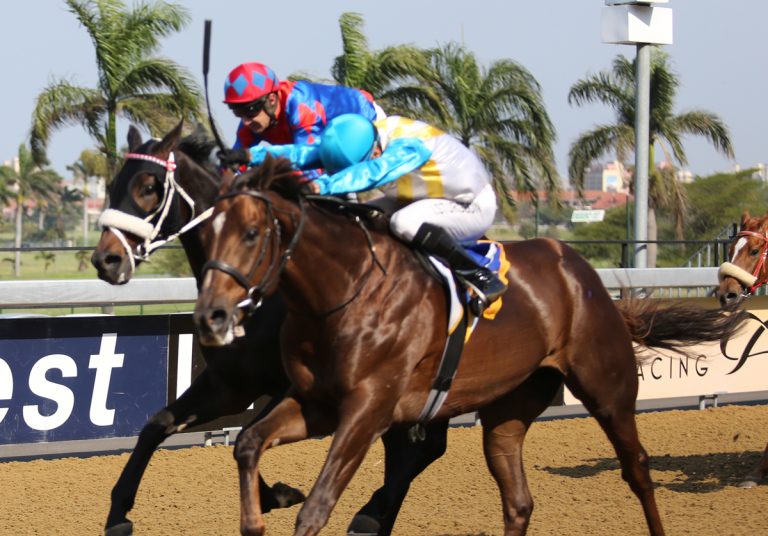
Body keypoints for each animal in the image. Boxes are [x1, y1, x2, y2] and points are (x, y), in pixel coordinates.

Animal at [90, 121, 450, 536]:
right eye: (114, 183)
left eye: (148, 186)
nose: (105, 259)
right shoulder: (229, 384)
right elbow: (159, 424)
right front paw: (118, 513)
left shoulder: (295, 385)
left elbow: (247, 433)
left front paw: (276, 495)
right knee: (415, 449)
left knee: (419, 450)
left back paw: (371, 514)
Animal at [193, 158, 748, 536]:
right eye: (205, 234)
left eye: (250, 233)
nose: (210, 315)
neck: (344, 291)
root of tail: (580, 270)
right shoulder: (318, 403)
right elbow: (247, 443)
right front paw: (257, 515)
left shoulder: (368, 410)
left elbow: (317, 507)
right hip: (509, 409)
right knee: (518, 500)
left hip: (607, 388)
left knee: (638, 470)